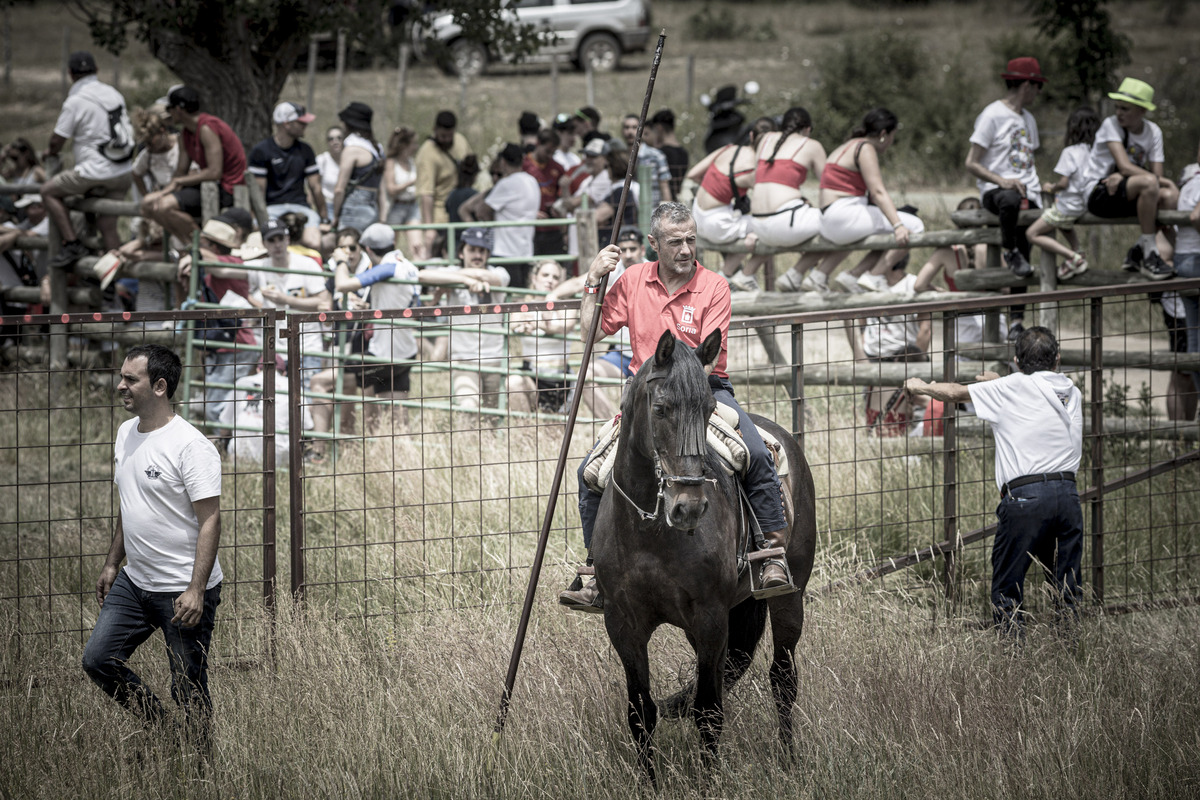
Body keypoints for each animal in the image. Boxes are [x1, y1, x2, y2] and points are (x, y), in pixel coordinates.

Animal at [588, 328, 816, 786]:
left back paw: (788, 759)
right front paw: (649, 784)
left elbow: (708, 711)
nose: (688, 507)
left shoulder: (710, 618)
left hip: (789, 597)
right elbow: (641, 713)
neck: (650, 530)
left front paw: (709, 781)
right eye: (660, 409)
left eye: (709, 409)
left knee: (783, 678)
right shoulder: (623, 624)